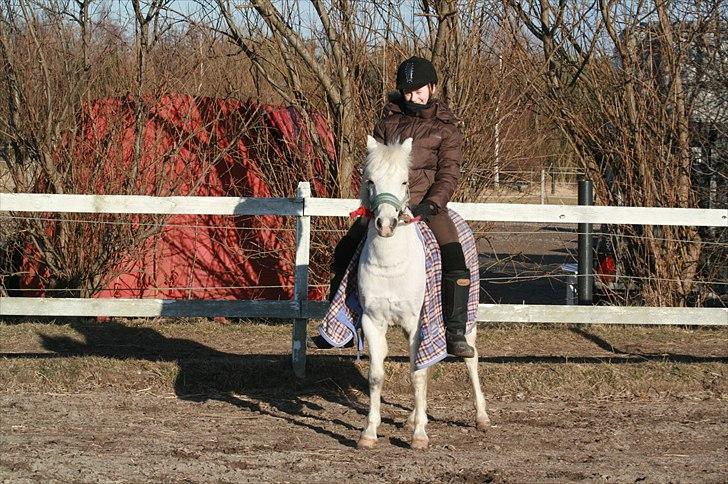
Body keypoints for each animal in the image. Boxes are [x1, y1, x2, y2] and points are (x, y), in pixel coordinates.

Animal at [356, 135, 490, 450]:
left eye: (404, 181)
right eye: (370, 180)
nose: (386, 225)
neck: (391, 265)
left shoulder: (418, 322)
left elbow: (417, 375)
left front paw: (419, 436)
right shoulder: (372, 321)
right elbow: (377, 376)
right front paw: (369, 433)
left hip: (467, 323)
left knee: (471, 360)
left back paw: (481, 417)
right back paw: (413, 417)